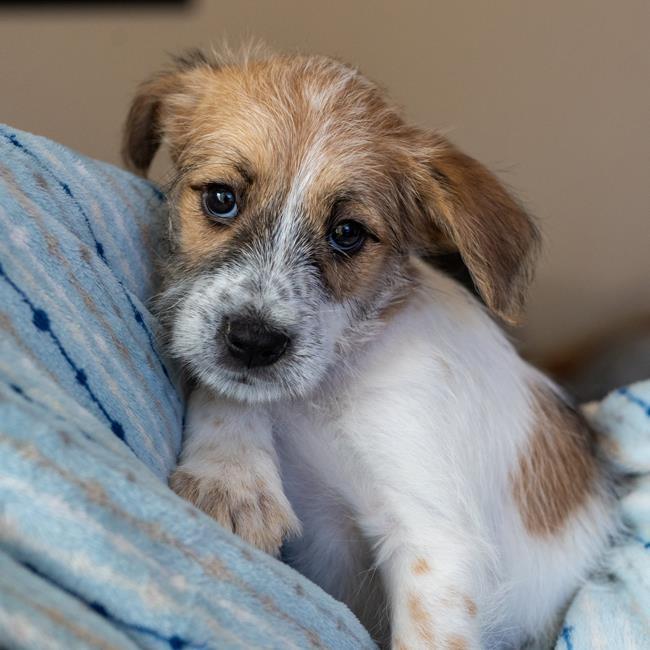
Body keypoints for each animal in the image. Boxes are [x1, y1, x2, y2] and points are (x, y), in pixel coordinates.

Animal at [124, 46, 616, 648]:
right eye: (221, 198)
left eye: (348, 234)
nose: (254, 342)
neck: (327, 388)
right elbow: (228, 388)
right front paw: (231, 477)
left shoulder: (436, 544)